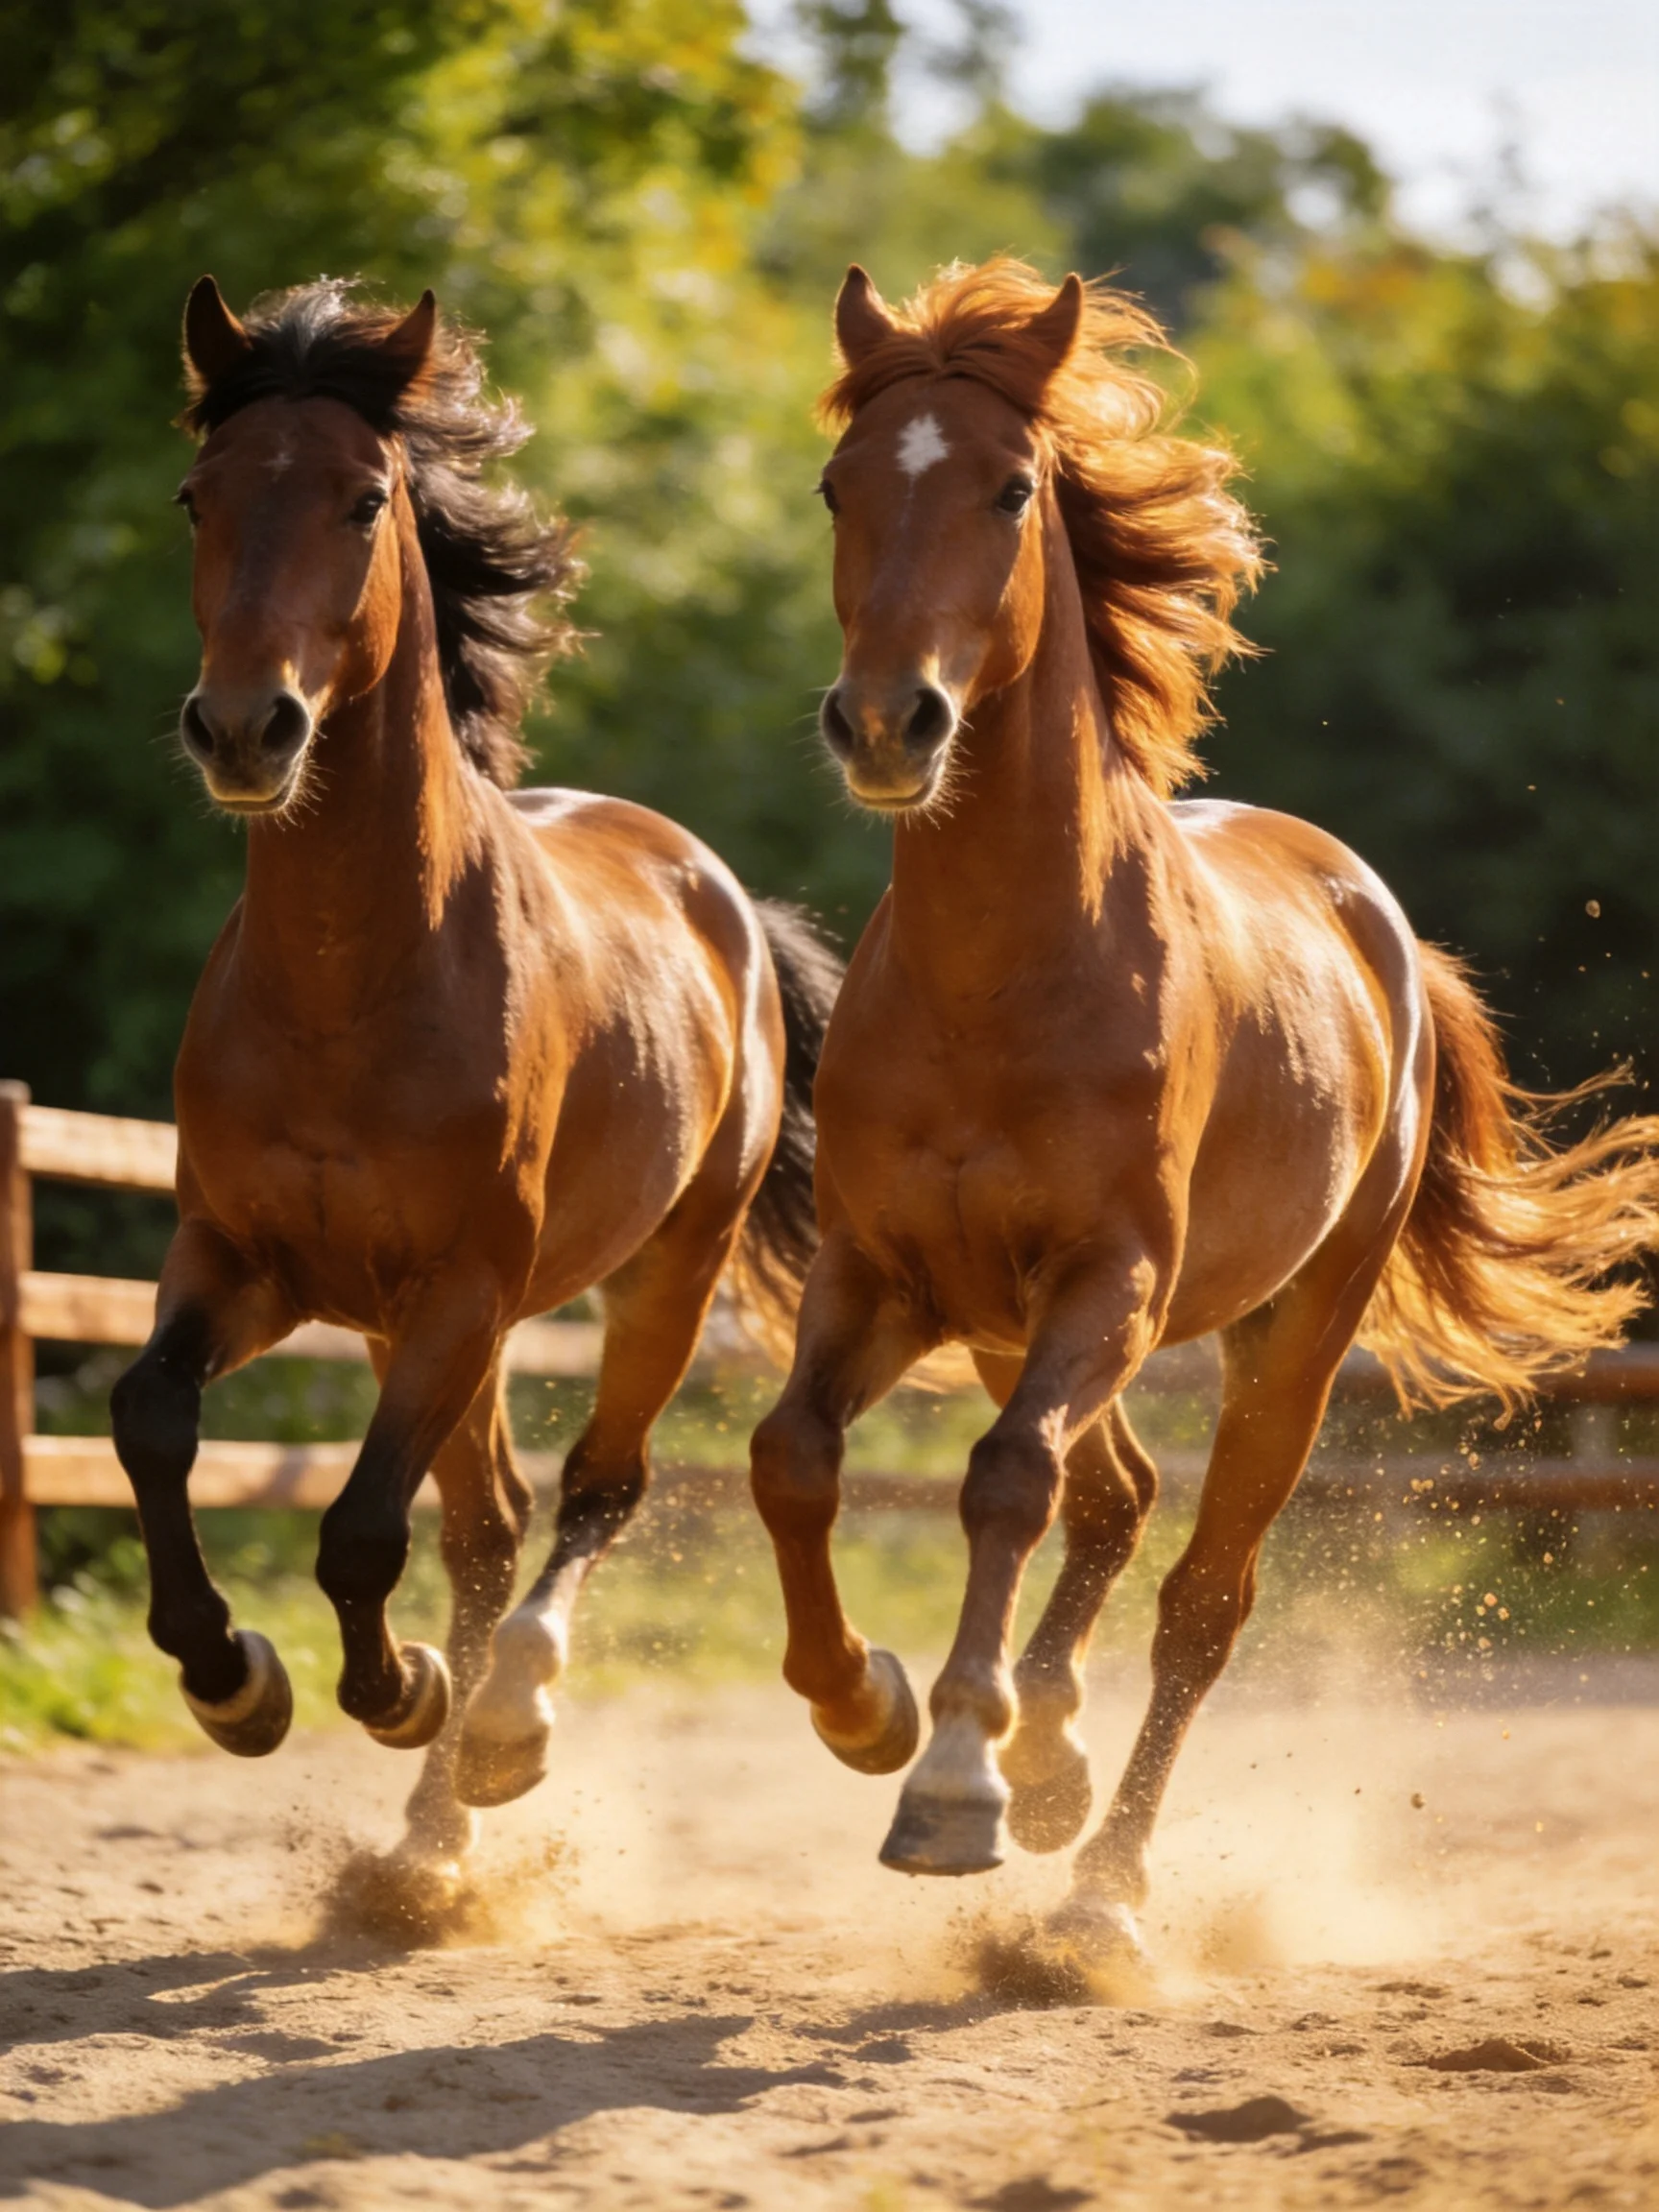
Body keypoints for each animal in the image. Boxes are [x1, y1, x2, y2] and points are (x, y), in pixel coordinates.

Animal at [111, 277, 840, 1890]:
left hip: (654, 1274)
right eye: (197, 495)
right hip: (421, 1324)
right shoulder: (244, 1262)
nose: (243, 729)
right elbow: (150, 1419)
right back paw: (429, 1837)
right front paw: (234, 1682)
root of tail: (722, 894)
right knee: (491, 1521)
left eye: (364, 498)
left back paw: (499, 1730)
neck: (350, 984)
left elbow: (359, 1531)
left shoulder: (462, 1283)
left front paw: (400, 1695)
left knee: (588, 1493)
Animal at [748, 257, 1659, 1958]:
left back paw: (1099, 1888)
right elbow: (795, 1458)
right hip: (1005, 1323)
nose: (887, 725)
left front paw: (951, 1791)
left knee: (1199, 1590)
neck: (1002, 975)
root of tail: (1378, 921)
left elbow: (1006, 1484)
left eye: (1009, 486)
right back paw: (1047, 1763)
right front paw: (871, 1712)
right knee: (1119, 1498)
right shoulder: (887, 1276)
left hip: (1286, 1335)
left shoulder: (1108, 1282)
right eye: (839, 483)